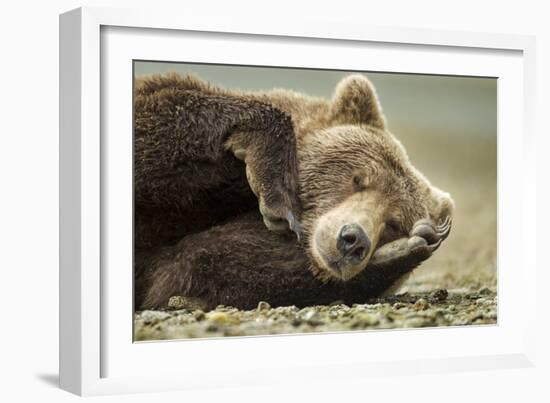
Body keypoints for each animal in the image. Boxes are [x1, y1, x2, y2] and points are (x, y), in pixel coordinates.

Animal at [135, 73, 458, 312]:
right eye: (358, 179)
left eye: (394, 223)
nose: (353, 240)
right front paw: (276, 195)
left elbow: (192, 267)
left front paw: (404, 249)